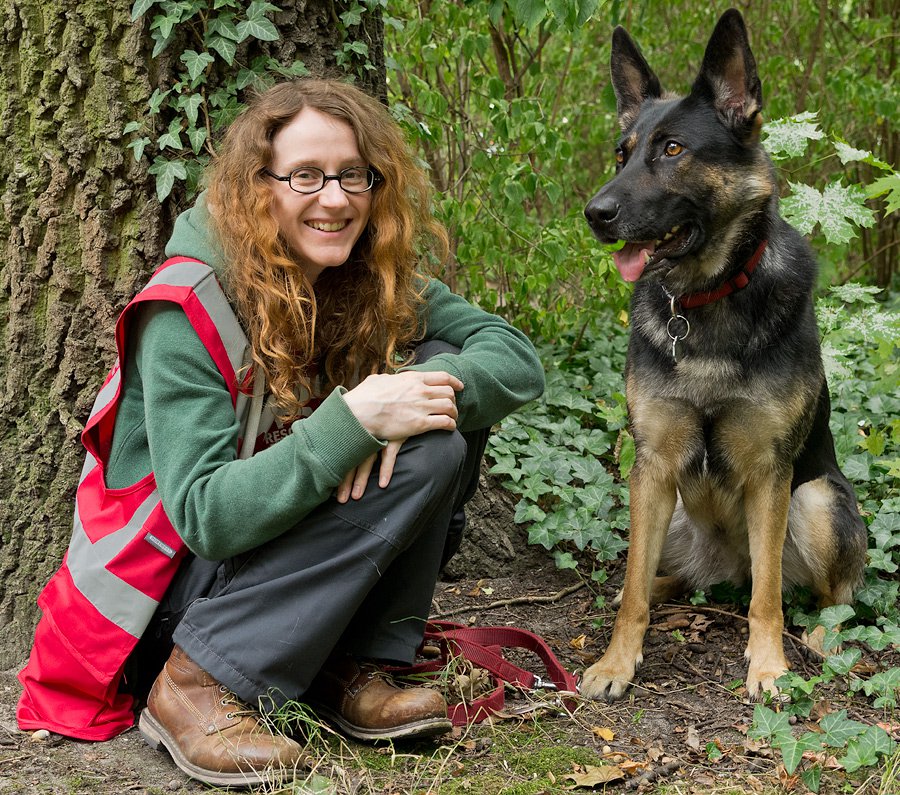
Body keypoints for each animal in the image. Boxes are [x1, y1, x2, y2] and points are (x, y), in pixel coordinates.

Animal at [580, 9, 868, 700]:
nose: (595, 213)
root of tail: (725, 565)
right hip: (666, 511)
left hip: (817, 501)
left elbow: (767, 602)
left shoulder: (770, 473)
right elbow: (633, 588)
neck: (706, 299)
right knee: (659, 577)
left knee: (818, 595)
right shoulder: (653, 464)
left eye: (673, 150)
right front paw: (615, 662)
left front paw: (768, 667)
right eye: (623, 153)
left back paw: (821, 638)